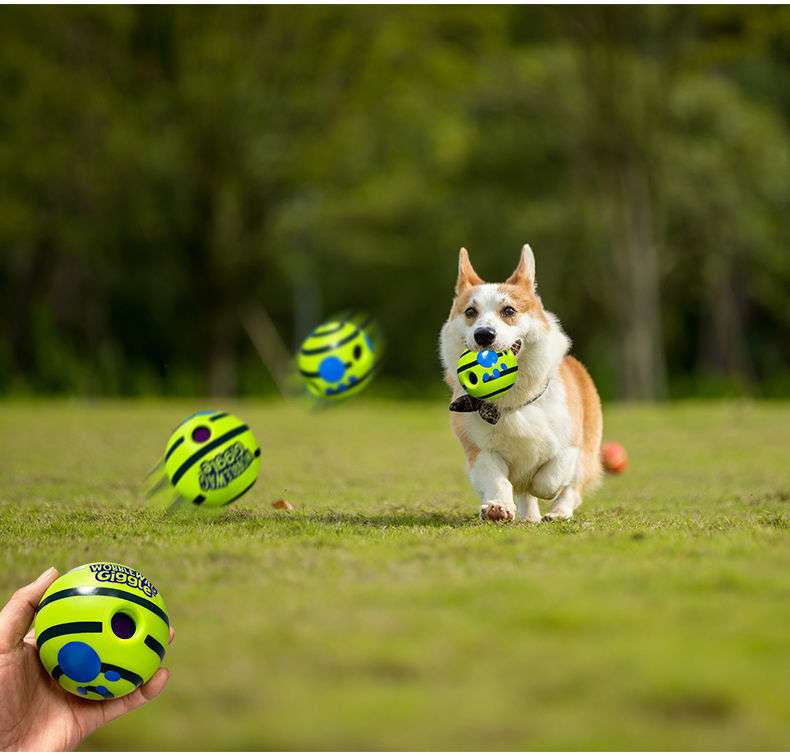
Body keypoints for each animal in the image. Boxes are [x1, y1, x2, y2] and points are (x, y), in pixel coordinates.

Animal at [440, 245, 608, 524]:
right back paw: (528, 517)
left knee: (571, 490)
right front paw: (497, 507)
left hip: (588, 452)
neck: (514, 401)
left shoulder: (571, 446)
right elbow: (499, 481)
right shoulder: (481, 452)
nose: (483, 335)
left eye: (508, 311)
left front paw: (541, 488)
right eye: (470, 312)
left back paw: (558, 513)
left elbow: (550, 478)